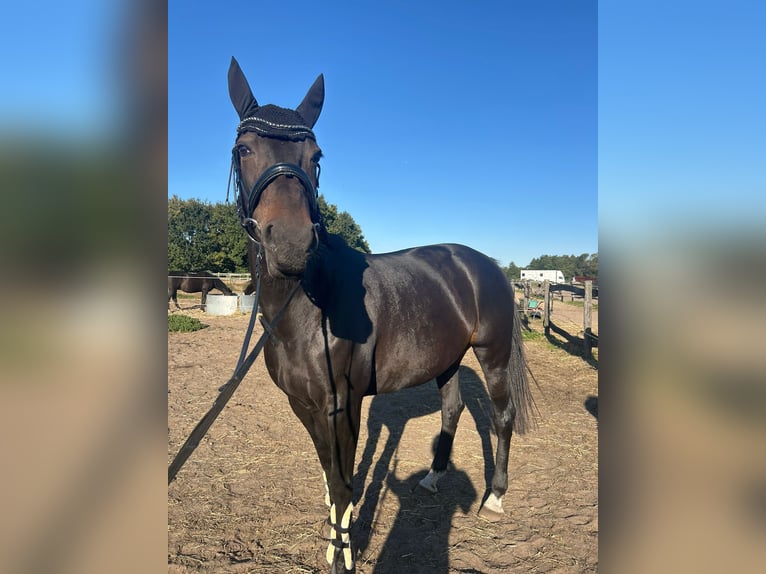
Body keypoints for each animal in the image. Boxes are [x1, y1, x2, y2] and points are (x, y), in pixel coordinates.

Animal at [226, 57, 536, 573]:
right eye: (243, 148)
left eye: (316, 156)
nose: (290, 244)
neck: (311, 307)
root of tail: (487, 264)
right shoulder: (304, 405)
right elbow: (328, 476)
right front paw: (334, 542)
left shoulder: (342, 404)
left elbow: (343, 483)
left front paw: (343, 557)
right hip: (446, 359)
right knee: (452, 409)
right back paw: (432, 479)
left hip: (491, 356)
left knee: (502, 416)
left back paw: (494, 497)